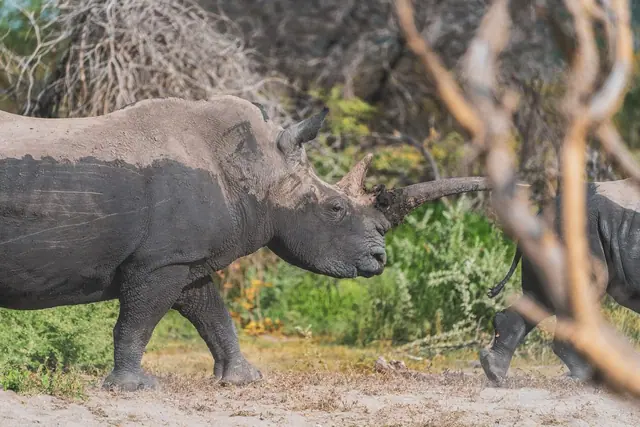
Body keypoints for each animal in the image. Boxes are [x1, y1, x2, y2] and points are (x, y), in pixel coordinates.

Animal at [0, 95, 488, 391]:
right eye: (335, 209)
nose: (379, 258)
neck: (257, 168)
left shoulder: (183, 260)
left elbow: (213, 315)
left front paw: (242, 379)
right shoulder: (158, 262)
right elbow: (137, 322)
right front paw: (132, 388)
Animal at [480, 179, 640, 384]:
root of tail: (540, 214)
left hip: (551, 235)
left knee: (539, 299)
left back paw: (494, 372)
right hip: (572, 232)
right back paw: (583, 377)